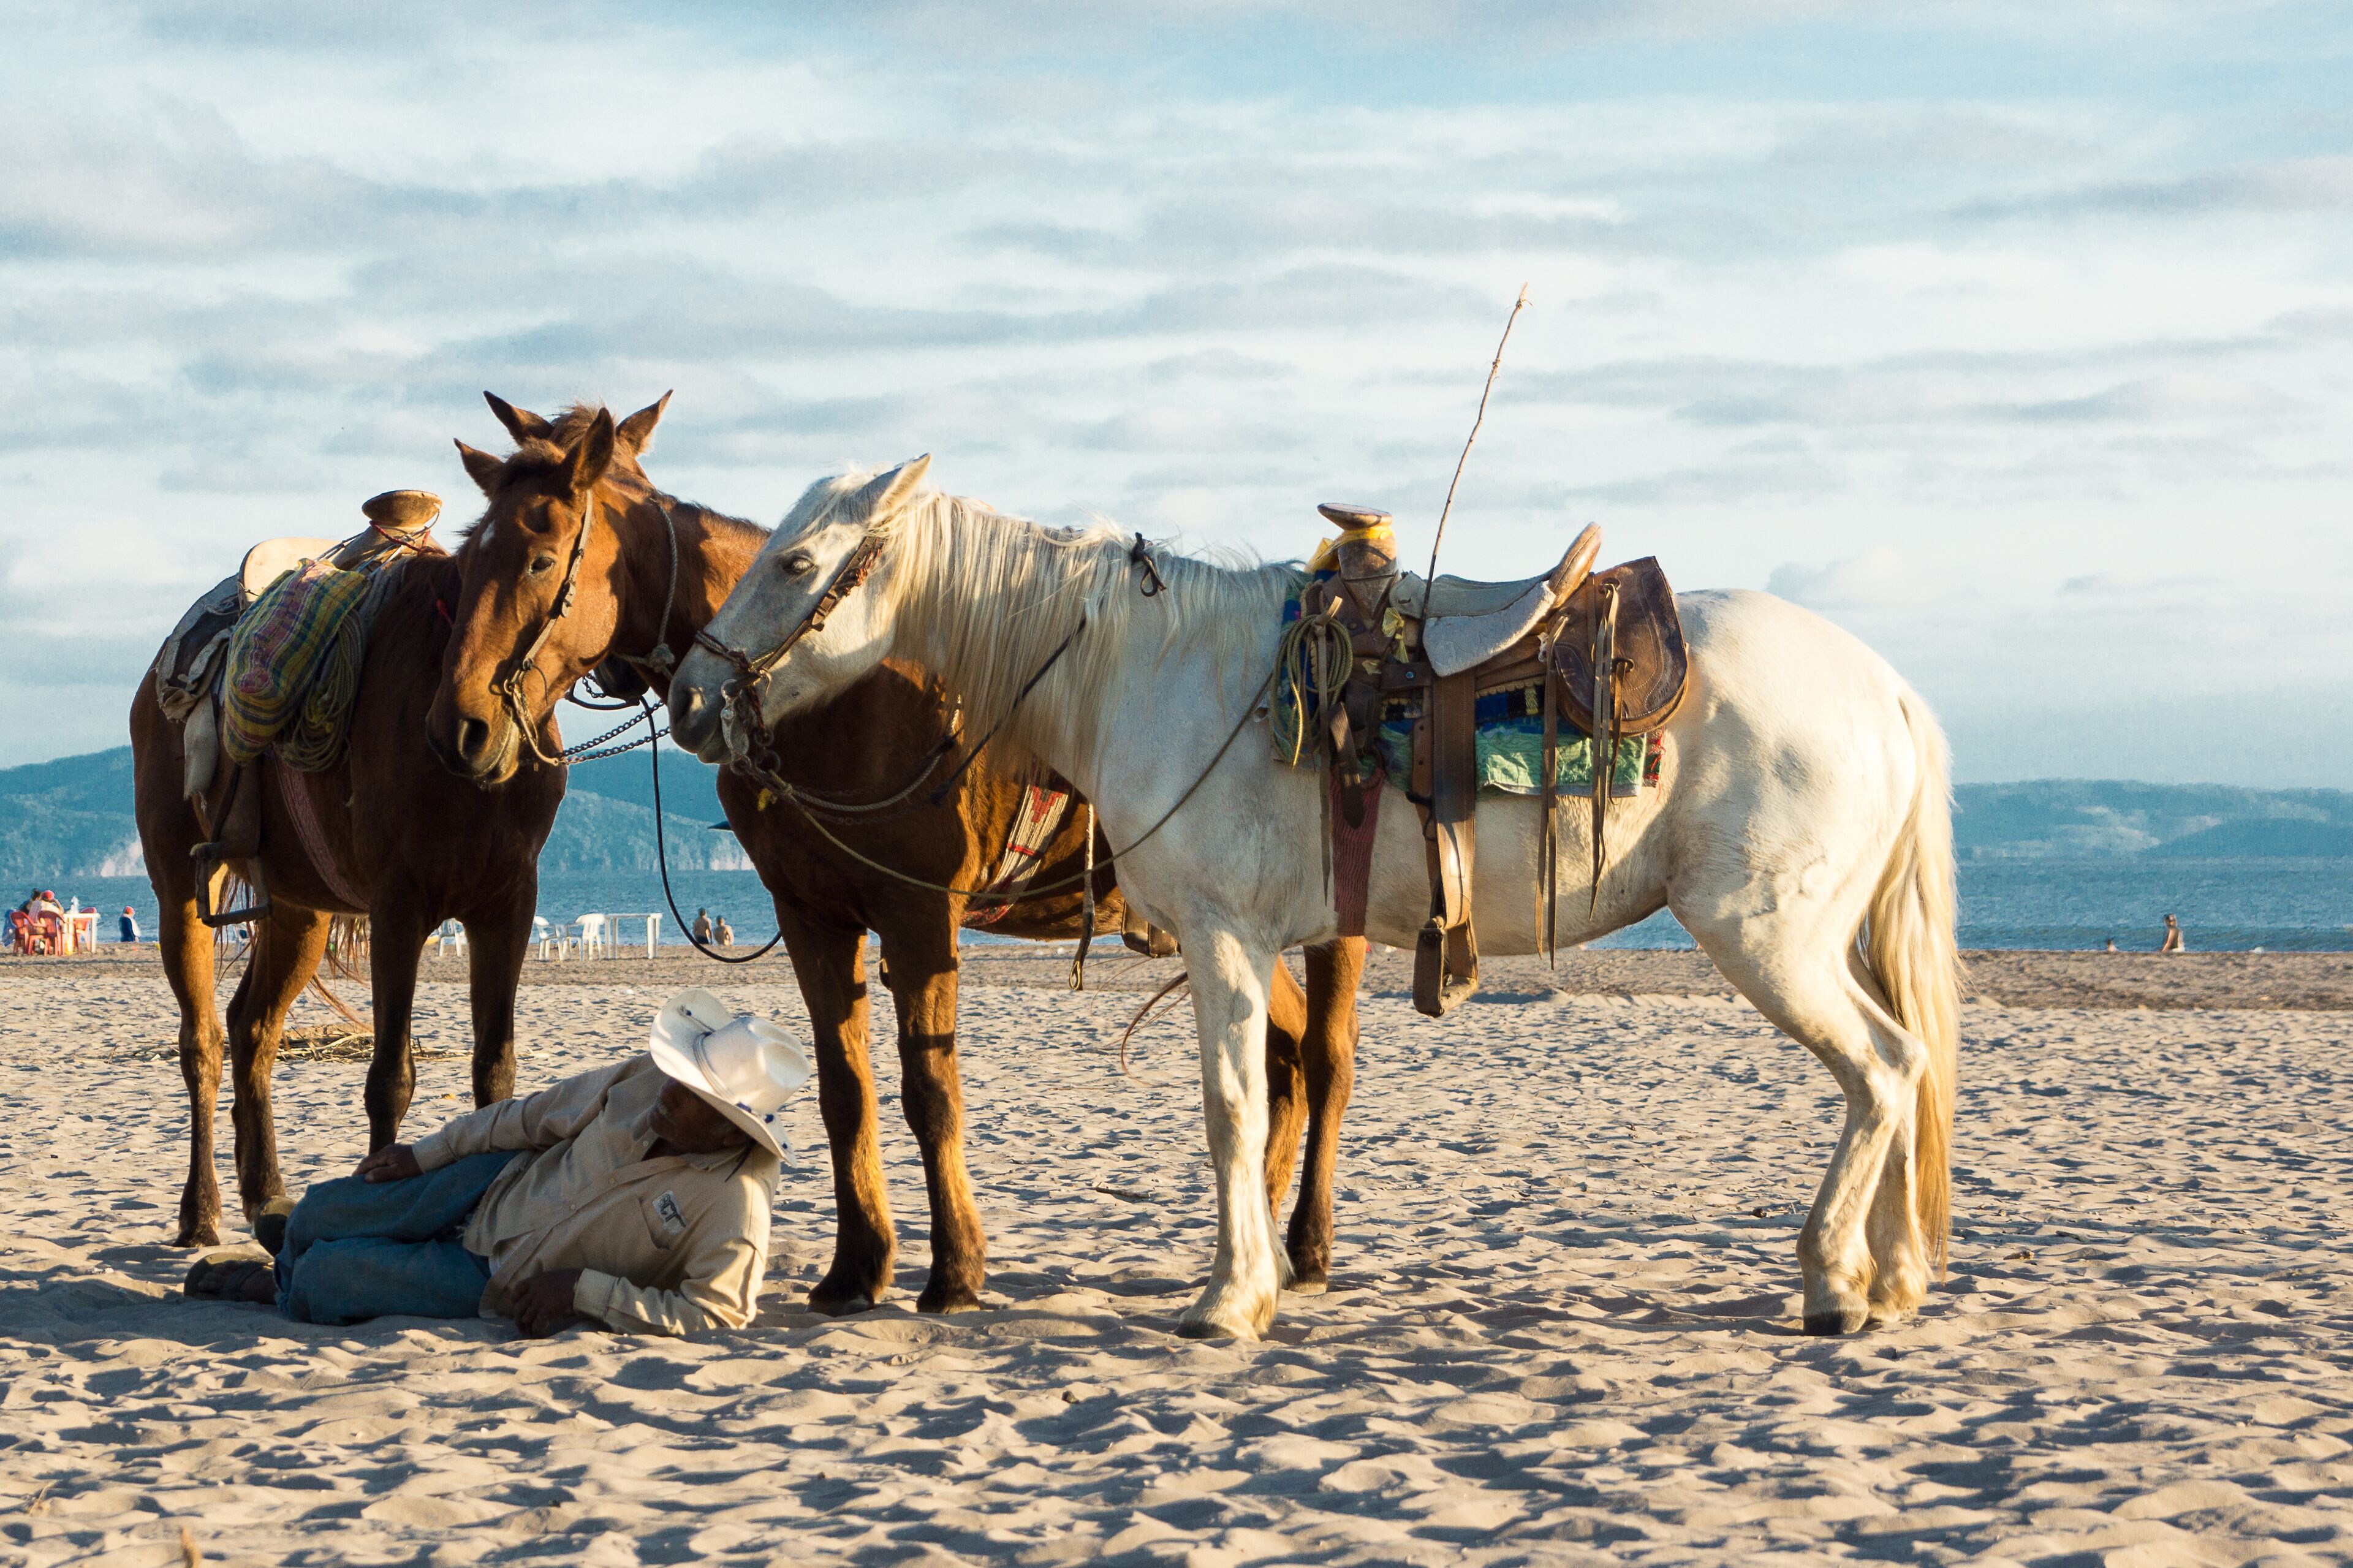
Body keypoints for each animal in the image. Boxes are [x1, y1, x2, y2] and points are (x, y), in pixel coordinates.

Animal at [130, 546, 566, 1249]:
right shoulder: (398, 908)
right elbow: (390, 1078)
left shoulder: (508, 905)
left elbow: (495, 1074)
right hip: (181, 893)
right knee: (203, 1042)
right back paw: (201, 1212)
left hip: (300, 912)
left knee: (253, 1029)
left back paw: (267, 1194)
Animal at [424, 394, 1368, 1314]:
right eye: (467, 562)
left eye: (542, 559)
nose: (460, 726)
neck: (841, 696)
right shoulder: (815, 918)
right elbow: (845, 1093)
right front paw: (857, 1266)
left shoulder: (920, 916)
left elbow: (931, 1093)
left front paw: (954, 1270)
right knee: (1284, 1057)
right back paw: (1263, 1240)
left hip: (1325, 927)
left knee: (1327, 1062)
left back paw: (1307, 1244)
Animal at [668, 457, 1962, 1342]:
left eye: (795, 565)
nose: (687, 695)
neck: (1146, 670)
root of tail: (1889, 688)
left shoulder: (1223, 939)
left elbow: (1235, 1107)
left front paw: (1229, 1296)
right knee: (1905, 1064)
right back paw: (1895, 1275)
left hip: (1770, 938)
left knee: (1885, 1066)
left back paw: (1833, 1279)